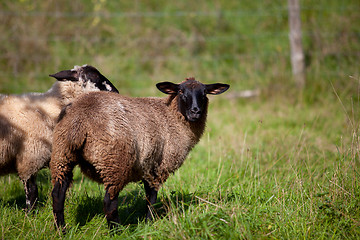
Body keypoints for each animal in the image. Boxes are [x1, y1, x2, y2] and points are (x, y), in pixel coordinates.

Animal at [0, 64, 119, 209]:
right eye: (95, 76)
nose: (116, 92)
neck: (53, 107)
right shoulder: (29, 158)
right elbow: (32, 192)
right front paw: (30, 213)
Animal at [50, 77, 229, 229]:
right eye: (180, 91)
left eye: (204, 93)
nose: (195, 111)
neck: (172, 117)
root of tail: (80, 119)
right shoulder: (158, 167)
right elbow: (152, 198)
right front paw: (149, 222)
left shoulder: (147, 166)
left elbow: (149, 196)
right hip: (115, 163)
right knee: (109, 202)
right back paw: (117, 231)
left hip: (62, 155)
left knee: (58, 196)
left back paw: (62, 230)